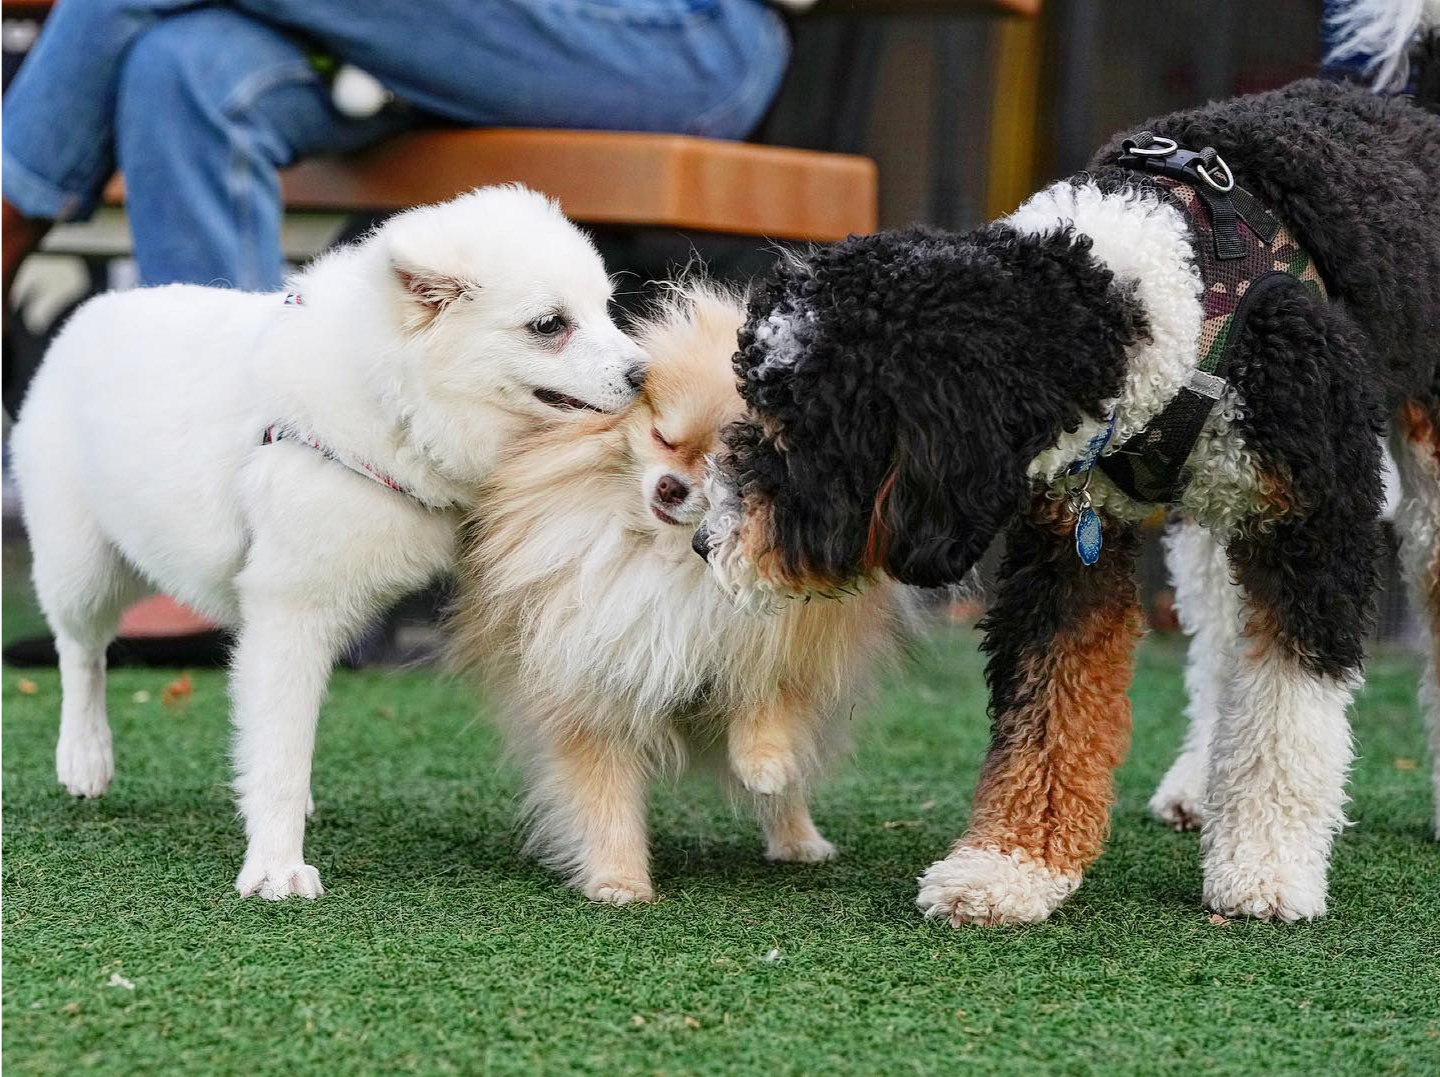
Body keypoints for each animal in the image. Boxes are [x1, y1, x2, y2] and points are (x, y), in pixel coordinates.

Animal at [9, 185, 642, 898]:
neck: (391, 400)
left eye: (605, 309)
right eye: (549, 325)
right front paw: (276, 869)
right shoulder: (292, 607)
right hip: (82, 567)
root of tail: (85, 316)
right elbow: (282, 750)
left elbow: (280, 734)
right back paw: (84, 756)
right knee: (81, 653)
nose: (645, 374)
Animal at [696, 6, 1440, 927]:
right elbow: (1049, 709)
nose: (704, 542)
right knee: (1220, 638)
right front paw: (1009, 865)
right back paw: (1200, 781)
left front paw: (1265, 867)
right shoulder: (1070, 537)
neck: (1154, 283)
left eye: (802, 436)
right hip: (1210, 521)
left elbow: (1287, 708)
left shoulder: (1315, 521)